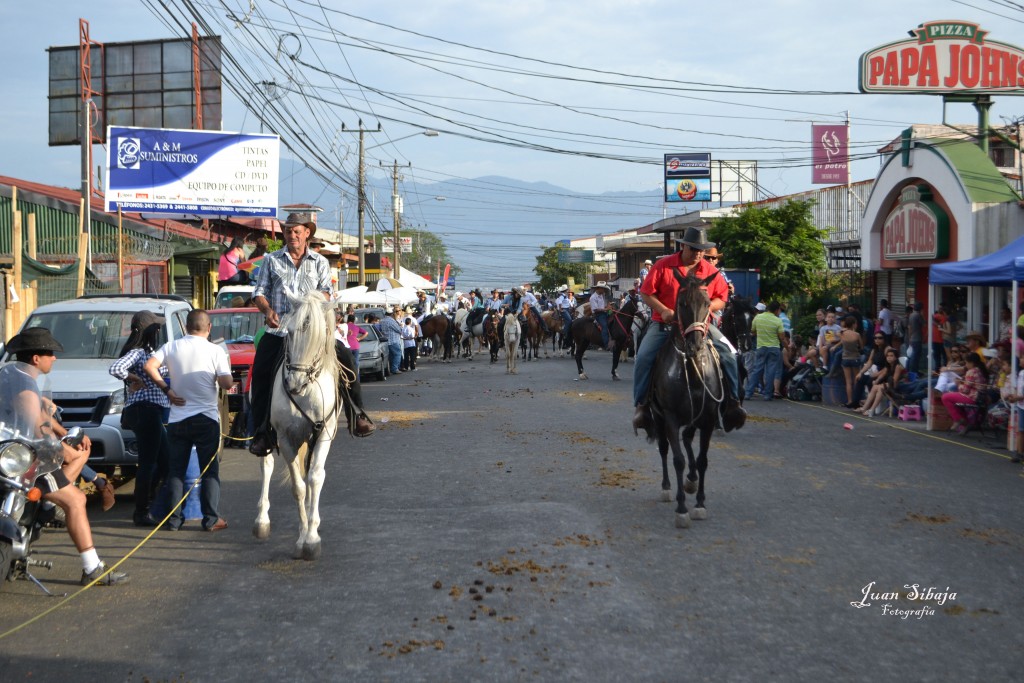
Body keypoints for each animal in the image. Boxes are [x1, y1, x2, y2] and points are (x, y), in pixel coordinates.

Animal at [253, 290, 342, 561]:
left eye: (319, 335)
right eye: (289, 332)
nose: (294, 383)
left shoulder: (324, 433)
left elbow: (315, 478)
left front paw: (312, 534)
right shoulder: (284, 438)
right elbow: (298, 487)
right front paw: (305, 539)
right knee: (267, 466)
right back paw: (261, 521)